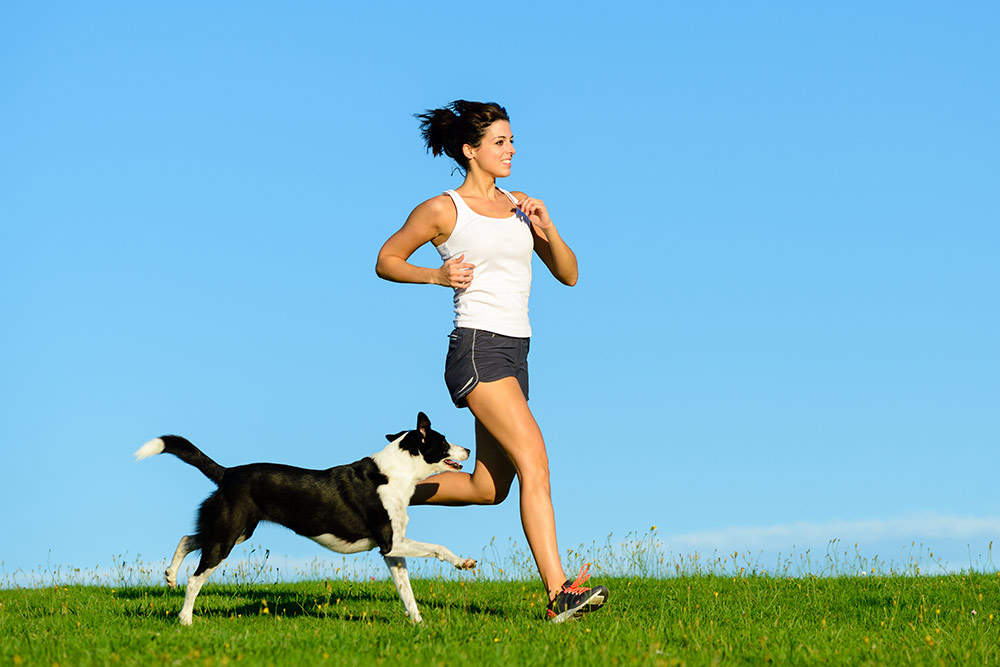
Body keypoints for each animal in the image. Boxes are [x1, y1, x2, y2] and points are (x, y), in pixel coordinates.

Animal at [136, 412, 476, 628]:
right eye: (444, 441)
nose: (469, 448)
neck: (395, 474)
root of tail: (228, 472)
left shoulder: (392, 552)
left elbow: (407, 593)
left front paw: (419, 624)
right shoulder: (391, 543)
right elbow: (439, 547)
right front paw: (464, 563)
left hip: (234, 531)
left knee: (187, 538)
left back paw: (170, 575)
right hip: (227, 536)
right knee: (195, 579)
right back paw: (185, 620)